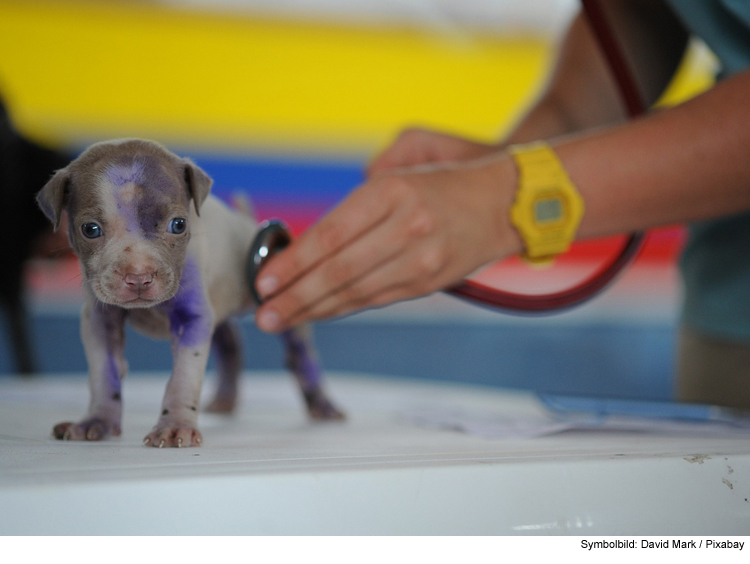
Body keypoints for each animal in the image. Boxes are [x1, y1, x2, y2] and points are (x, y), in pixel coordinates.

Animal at [36, 139, 346, 448]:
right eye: (90, 229)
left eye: (179, 224)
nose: (138, 277)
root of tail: (246, 223)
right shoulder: (99, 321)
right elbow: (104, 373)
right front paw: (97, 421)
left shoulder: (193, 319)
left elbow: (183, 378)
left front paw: (174, 426)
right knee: (231, 343)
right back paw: (225, 399)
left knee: (300, 354)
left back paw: (323, 405)